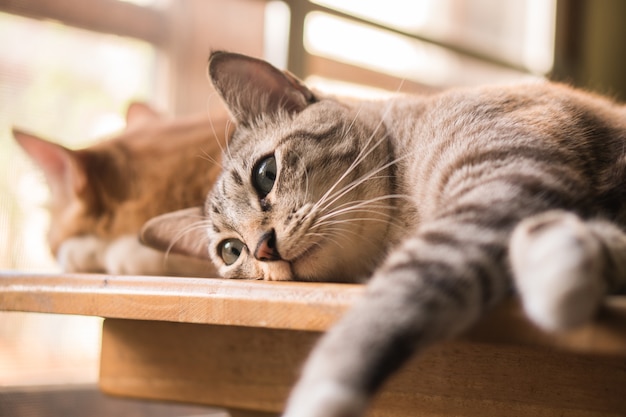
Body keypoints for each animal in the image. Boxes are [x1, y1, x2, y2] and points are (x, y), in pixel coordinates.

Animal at [141, 51, 624, 416]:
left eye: (265, 174)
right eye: (230, 251)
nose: (262, 250)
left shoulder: (506, 177)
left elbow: (390, 301)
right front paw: (568, 253)